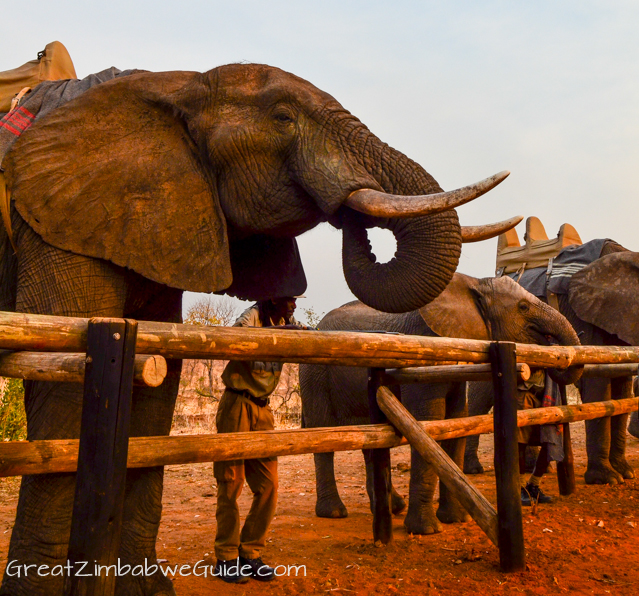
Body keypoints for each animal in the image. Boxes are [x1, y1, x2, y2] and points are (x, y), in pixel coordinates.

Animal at [0, 62, 512, 592]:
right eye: (284, 118)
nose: (348, 215)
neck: (173, 83)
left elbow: (157, 386)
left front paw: (150, 587)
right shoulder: (51, 220)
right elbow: (69, 385)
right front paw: (34, 589)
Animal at [298, 272, 584, 532]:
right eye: (523, 307)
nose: (554, 347)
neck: (475, 284)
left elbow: (456, 421)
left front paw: (455, 519)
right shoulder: (423, 357)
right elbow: (429, 423)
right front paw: (425, 529)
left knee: (371, 439)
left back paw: (393, 507)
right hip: (314, 374)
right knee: (322, 433)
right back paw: (334, 512)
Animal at [464, 237, 639, 484]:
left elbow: (622, 388)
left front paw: (626, 473)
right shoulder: (588, 316)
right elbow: (598, 384)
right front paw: (607, 478)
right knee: (481, 396)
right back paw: (473, 468)